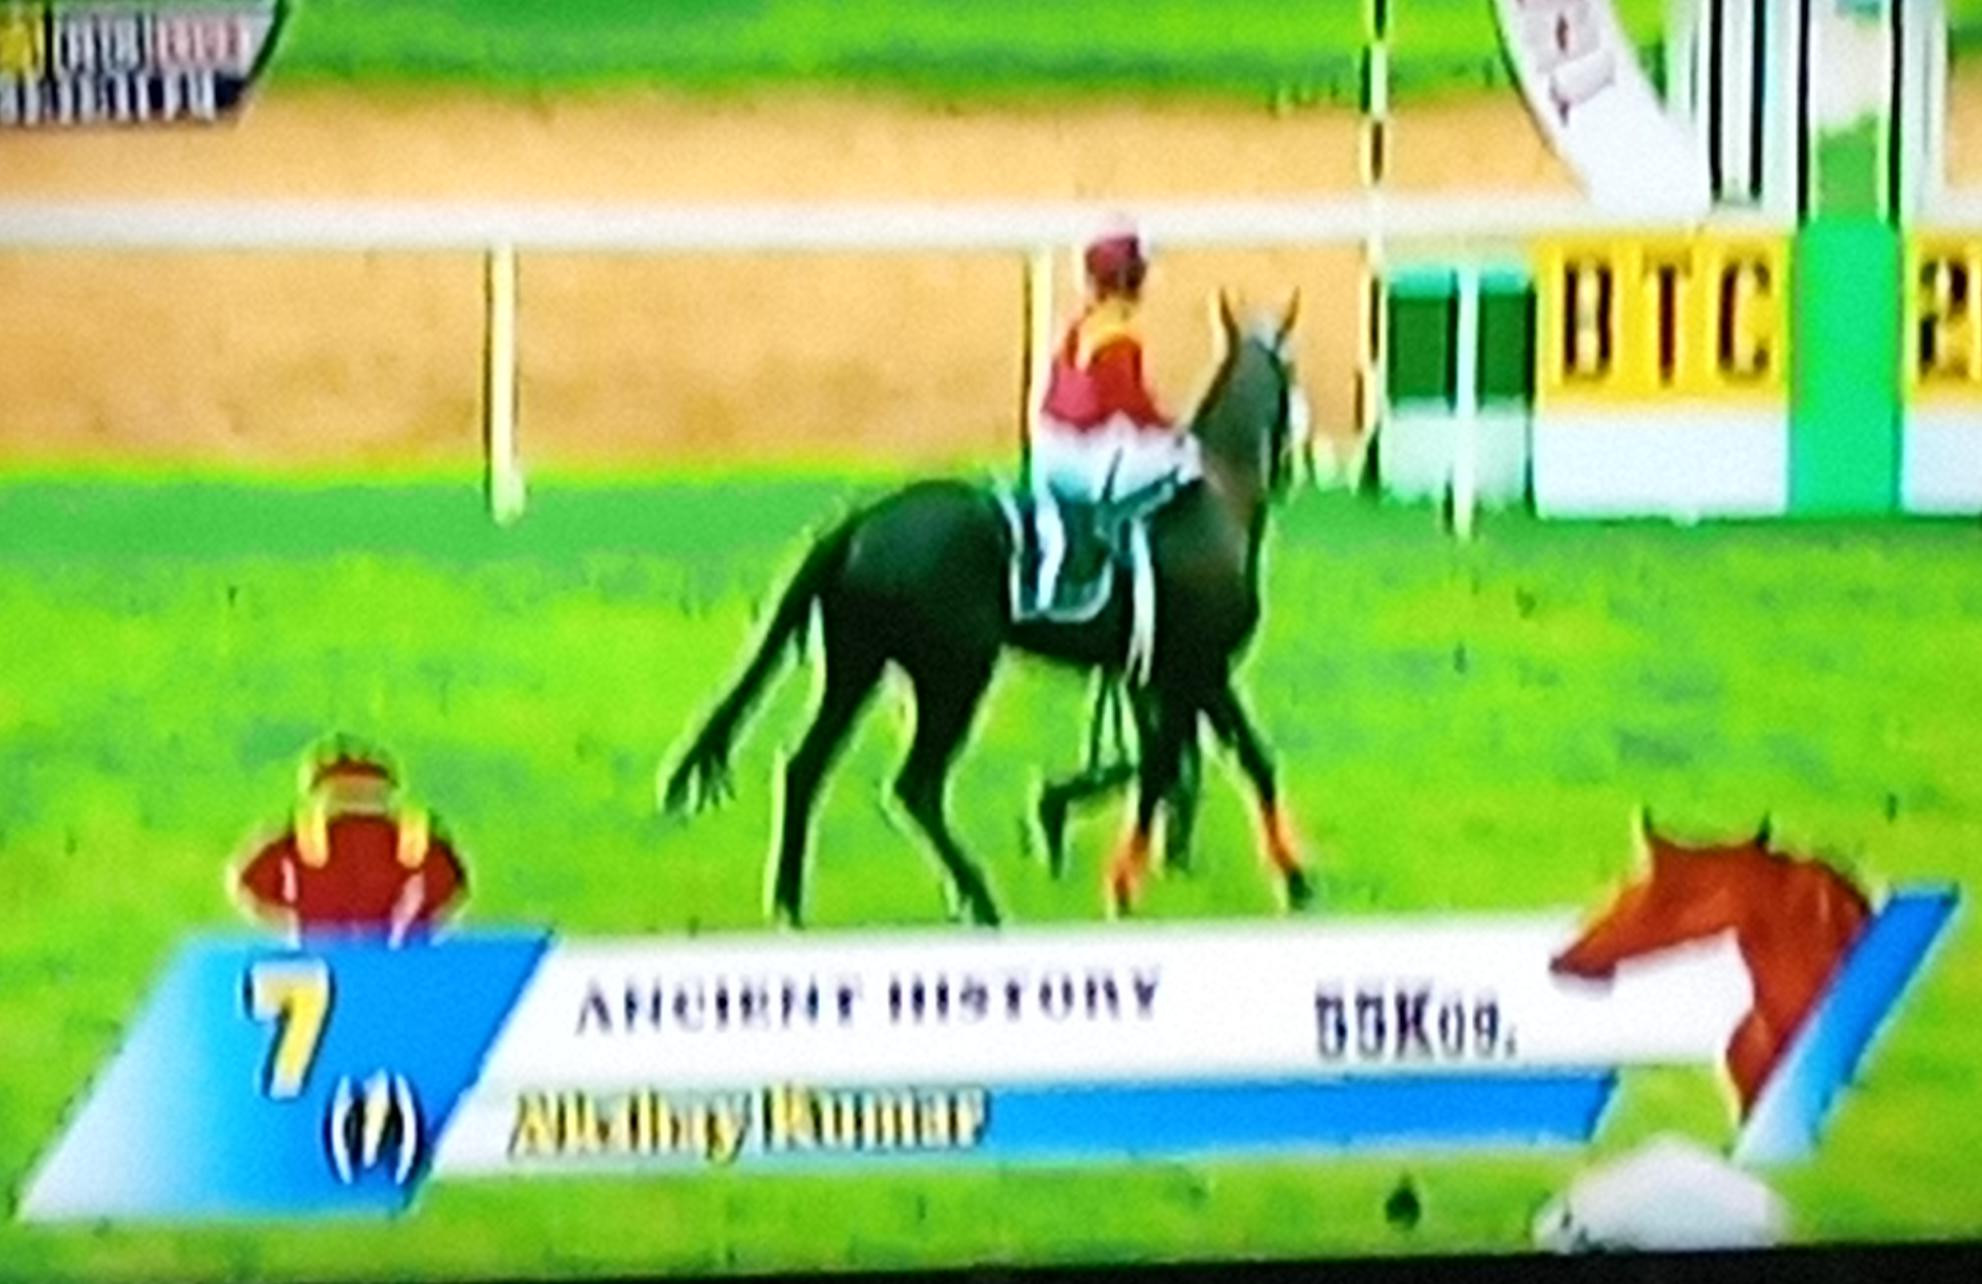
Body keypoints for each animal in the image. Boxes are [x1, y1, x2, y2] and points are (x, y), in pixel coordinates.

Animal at [661, 293, 1315, 927]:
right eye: (1291, 375)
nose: (1289, 466)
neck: (1218, 497)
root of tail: (860, 523)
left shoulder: (1169, 676)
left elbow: (1174, 763)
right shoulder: (1200, 669)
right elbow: (1215, 763)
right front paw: (1285, 882)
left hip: (858, 664)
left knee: (806, 768)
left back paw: (792, 905)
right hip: (954, 674)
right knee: (916, 786)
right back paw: (980, 898)